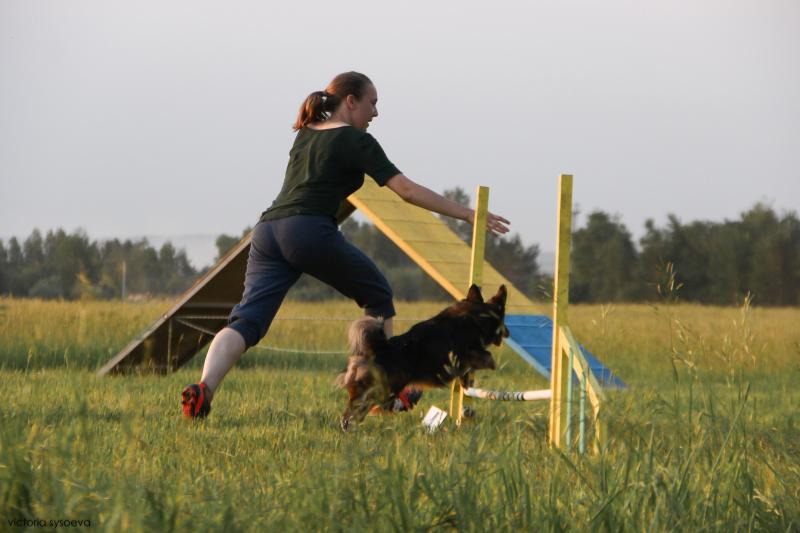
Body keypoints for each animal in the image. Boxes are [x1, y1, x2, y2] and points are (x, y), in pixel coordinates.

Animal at [334, 282, 510, 428]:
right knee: (358, 405)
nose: (508, 332)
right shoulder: (469, 352)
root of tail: (380, 347)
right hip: (385, 390)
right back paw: (350, 423)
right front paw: (493, 365)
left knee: (356, 407)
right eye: (504, 321)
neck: (477, 315)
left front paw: (467, 381)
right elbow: (486, 356)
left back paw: (349, 425)